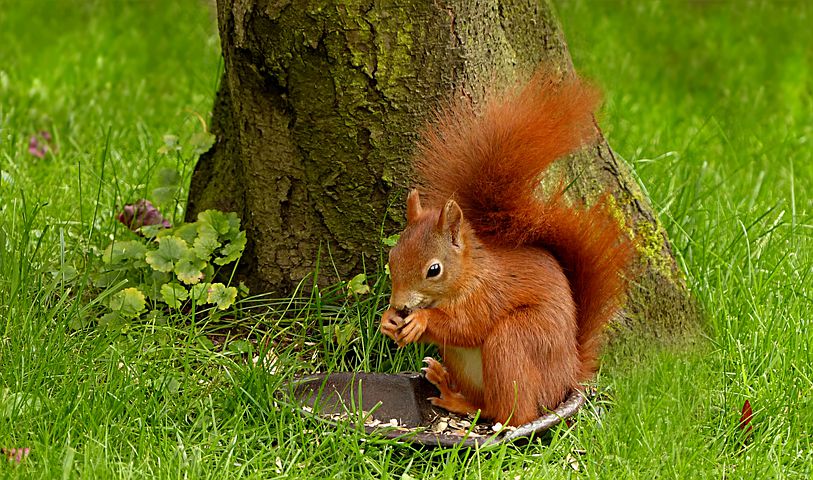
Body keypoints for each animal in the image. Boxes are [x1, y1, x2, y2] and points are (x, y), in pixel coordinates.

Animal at [379, 70, 635, 427]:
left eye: (434, 270)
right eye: (392, 258)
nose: (400, 305)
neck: (469, 275)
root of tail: (568, 373)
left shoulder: (489, 295)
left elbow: (466, 327)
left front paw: (420, 321)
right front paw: (388, 320)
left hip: (515, 340)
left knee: (511, 413)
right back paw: (448, 389)